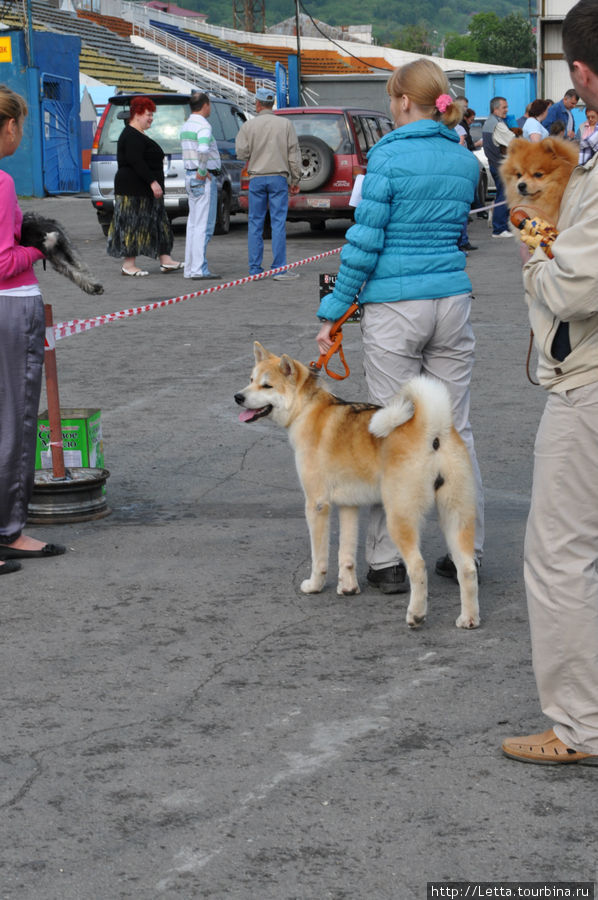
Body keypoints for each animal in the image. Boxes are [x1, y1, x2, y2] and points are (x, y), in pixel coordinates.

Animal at [237, 344, 480, 632]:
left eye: (267, 385)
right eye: (251, 379)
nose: (238, 397)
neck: (308, 409)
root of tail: (431, 428)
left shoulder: (317, 505)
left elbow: (320, 557)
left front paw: (315, 585)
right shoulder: (348, 506)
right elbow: (346, 553)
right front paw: (348, 588)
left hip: (400, 518)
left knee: (418, 568)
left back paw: (416, 615)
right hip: (456, 516)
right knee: (467, 569)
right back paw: (469, 619)